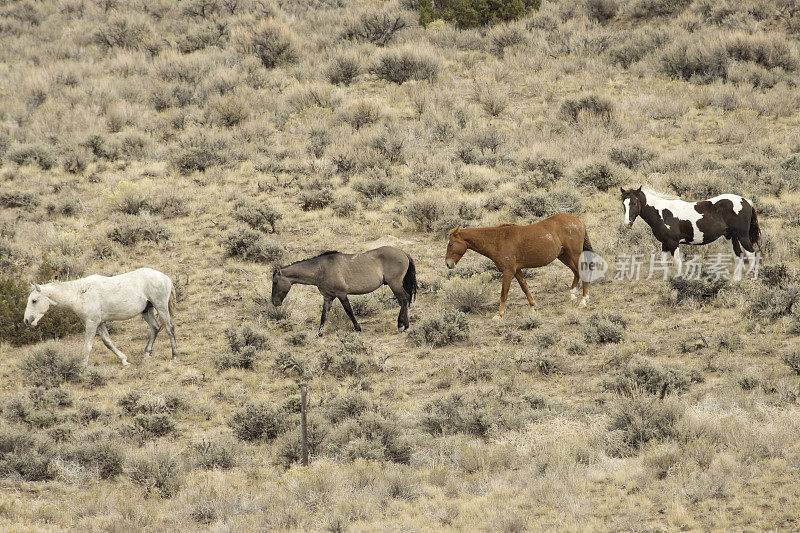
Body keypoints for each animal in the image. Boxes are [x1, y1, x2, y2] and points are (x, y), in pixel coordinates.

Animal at [23, 266, 178, 366]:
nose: (27, 320)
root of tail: (165, 277)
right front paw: (124, 360)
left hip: (161, 306)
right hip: (147, 311)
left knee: (169, 328)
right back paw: (146, 354)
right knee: (155, 328)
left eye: (34, 300)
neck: (79, 293)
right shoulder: (100, 323)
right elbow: (108, 342)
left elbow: (87, 346)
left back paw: (174, 356)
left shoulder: (92, 323)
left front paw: (82, 367)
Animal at [444, 213, 592, 320]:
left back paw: (583, 300)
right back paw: (572, 295)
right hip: (563, 256)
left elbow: (504, 293)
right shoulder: (517, 270)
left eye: (451, 244)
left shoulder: (508, 271)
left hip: (574, 254)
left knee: (582, 271)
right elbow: (524, 287)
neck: (496, 240)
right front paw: (532, 306)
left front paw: (499, 315)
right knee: (576, 272)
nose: (448, 264)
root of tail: (578, 221)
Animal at [620, 187, 760, 278]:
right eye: (624, 204)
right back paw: (735, 281)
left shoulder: (673, 243)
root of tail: (746, 201)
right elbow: (664, 263)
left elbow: (677, 263)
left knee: (751, 253)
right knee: (738, 256)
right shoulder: (665, 243)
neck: (662, 214)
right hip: (732, 236)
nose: (627, 224)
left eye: (634, 202)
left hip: (742, 236)